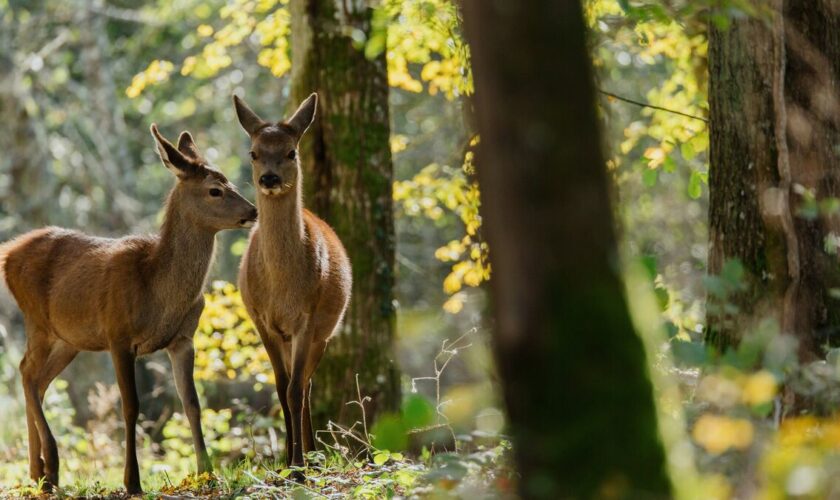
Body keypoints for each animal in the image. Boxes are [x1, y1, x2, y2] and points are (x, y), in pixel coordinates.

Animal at [0, 124, 256, 492]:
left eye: (230, 182)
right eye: (215, 190)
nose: (253, 212)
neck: (159, 291)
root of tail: (8, 253)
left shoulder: (183, 339)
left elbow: (192, 404)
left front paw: (207, 473)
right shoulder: (118, 334)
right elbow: (131, 406)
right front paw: (132, 481)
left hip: (69, 338)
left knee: (36, 378)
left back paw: (37, 472)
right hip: (37, 320)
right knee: (26, 373)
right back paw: (51, 467)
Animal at [230, 94, 352, 468]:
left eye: (291, 152)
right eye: (253, 152)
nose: (269, 178)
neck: (283, 289)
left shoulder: (307, 318)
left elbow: (295, 389)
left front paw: (298, 466)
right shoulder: (262, 320)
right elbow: (281, 387)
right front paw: (286, 461)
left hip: (324, 333)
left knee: (308, 384)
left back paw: (310, 453)